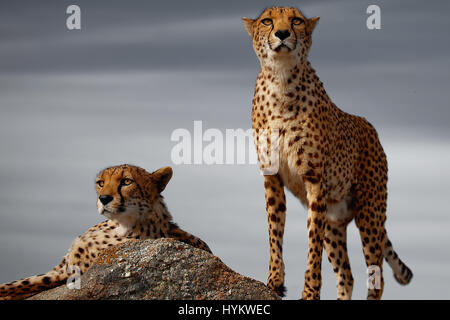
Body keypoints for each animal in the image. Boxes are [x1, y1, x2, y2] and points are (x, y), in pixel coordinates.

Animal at [0, 165, 211, 300]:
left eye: (126, 181)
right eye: (101, 182)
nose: (104, 198)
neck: (119, 224)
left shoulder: (68, 273)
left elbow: (16, 285)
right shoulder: (60, 268)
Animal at [244, 5, 414, 300]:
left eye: (295, 21)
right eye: (267, 21)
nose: (282, 33)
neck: (281, 79)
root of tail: (368, 125)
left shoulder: (315, 181)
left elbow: (312, 246)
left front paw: (309, 291)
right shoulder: (272, 176)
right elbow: (274, 230)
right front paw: (275, 279)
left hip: (369, 212)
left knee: (376, 276)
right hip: (335, 221)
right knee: (346, 274)